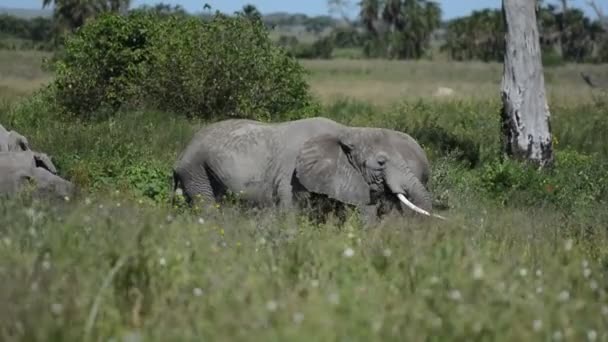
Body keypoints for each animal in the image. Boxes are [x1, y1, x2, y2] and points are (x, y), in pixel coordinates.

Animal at [173, 116, 444, 223]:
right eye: (381, 163)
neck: (347, 131)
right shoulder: (290, 174)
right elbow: (289, 210)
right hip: (196, 169)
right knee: (206, 206)